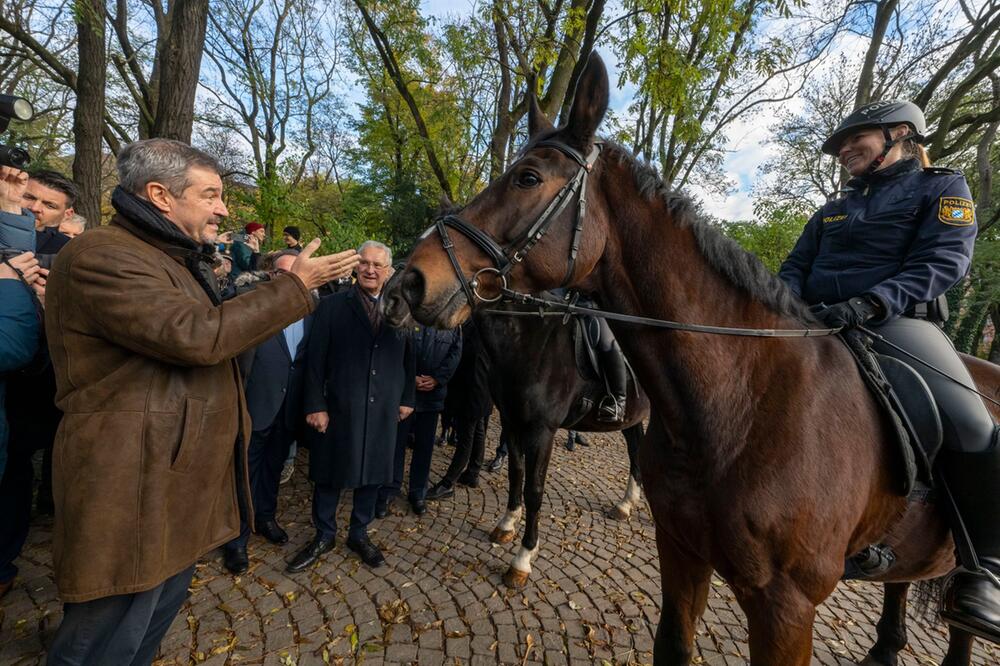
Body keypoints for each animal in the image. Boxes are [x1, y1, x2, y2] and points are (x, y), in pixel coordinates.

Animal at [384, 53, 1000, 664]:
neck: (743, 403)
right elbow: (518, 482)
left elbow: (531, 487)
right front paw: (507, 527)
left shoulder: (786, 606)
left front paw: (521, 558)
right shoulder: (671, 544)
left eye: (528, 178)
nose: (407, 284)